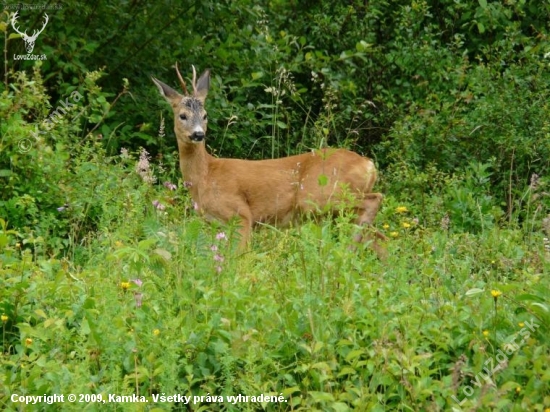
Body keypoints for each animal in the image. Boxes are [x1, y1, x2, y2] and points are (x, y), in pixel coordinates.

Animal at [151, 65, 388, 258]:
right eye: (182, 115)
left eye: (205, 115)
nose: (198, 134)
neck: (206, 175)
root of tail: (369, 165)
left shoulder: (241, 214)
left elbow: (238, 257)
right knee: (380, 239)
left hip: (320, 195)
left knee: (375, 202)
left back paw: (346, 251)